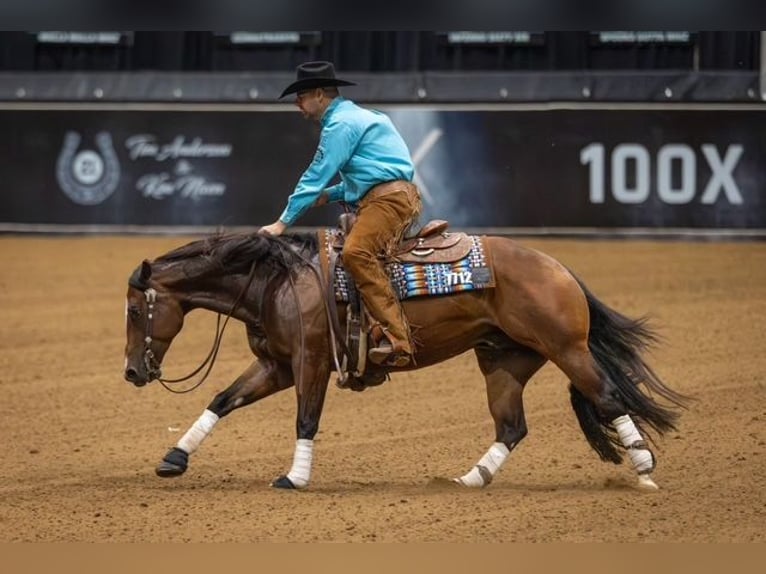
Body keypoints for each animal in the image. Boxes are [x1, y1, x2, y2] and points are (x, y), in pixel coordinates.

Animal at [123, 228, 690, 491]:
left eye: (133, 309)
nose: (132, 371)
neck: (277, 280)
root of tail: (559, 267)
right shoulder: (277, 365)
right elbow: (223, 400)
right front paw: (174, 458)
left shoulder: (310, 362)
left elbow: (306, 419)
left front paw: (295, 478)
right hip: (504, 362)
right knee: (511, 427)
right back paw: (470, 480)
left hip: (566, 349)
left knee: (608, 396)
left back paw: (644, 470)